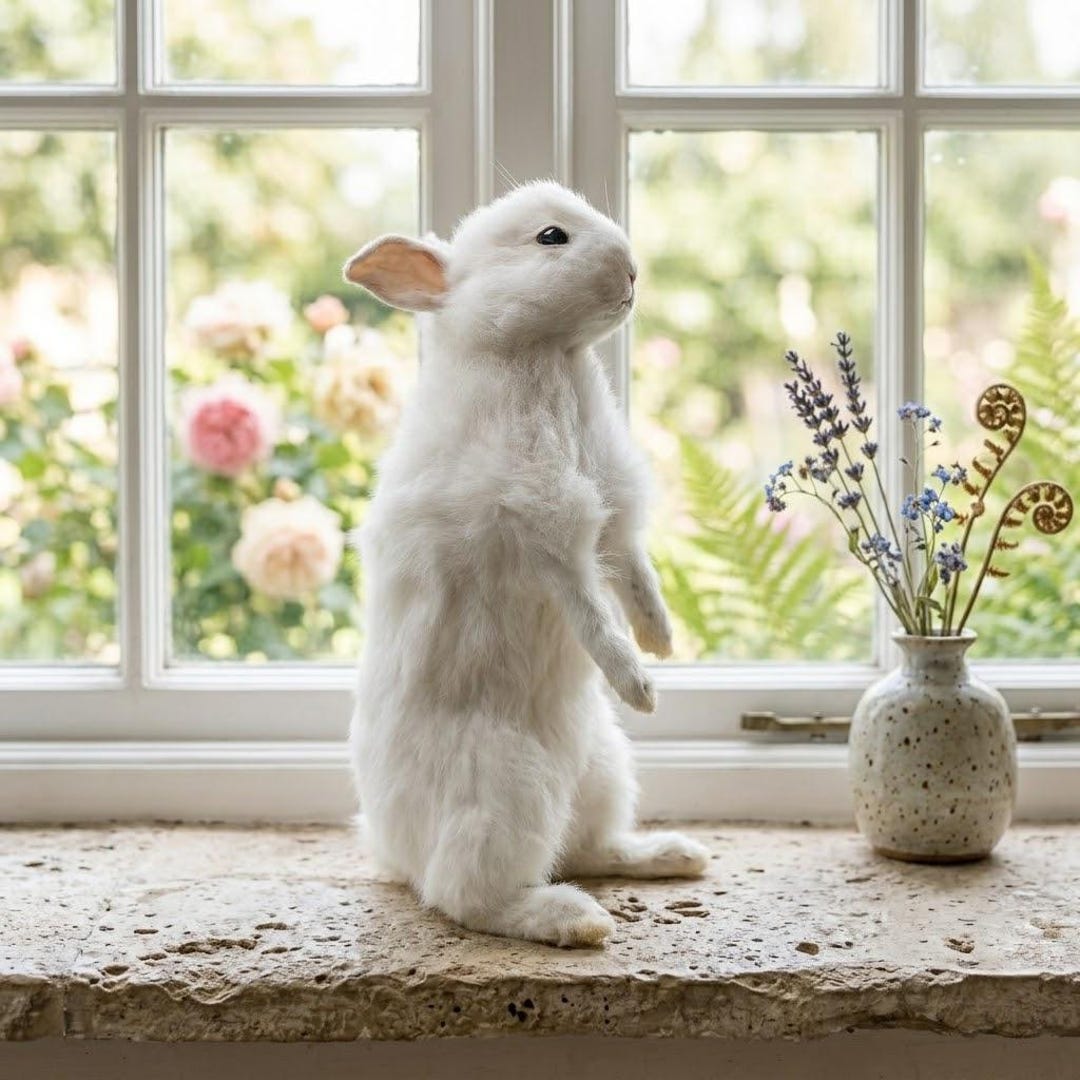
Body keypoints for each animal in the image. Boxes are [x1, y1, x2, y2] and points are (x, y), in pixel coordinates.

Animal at [343, 180, 708, 948]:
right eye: (550, 238)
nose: (633, 272)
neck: (546, 358)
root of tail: (394, 850)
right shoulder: (545, 535)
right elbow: (590, 612)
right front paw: (640, 685)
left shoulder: (611, 516)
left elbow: (633, 573)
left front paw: (661, 639)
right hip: (508, 794)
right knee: (465, 898)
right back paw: (574, 920)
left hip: (604, 769)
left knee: (592, 847)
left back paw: (672, 854)